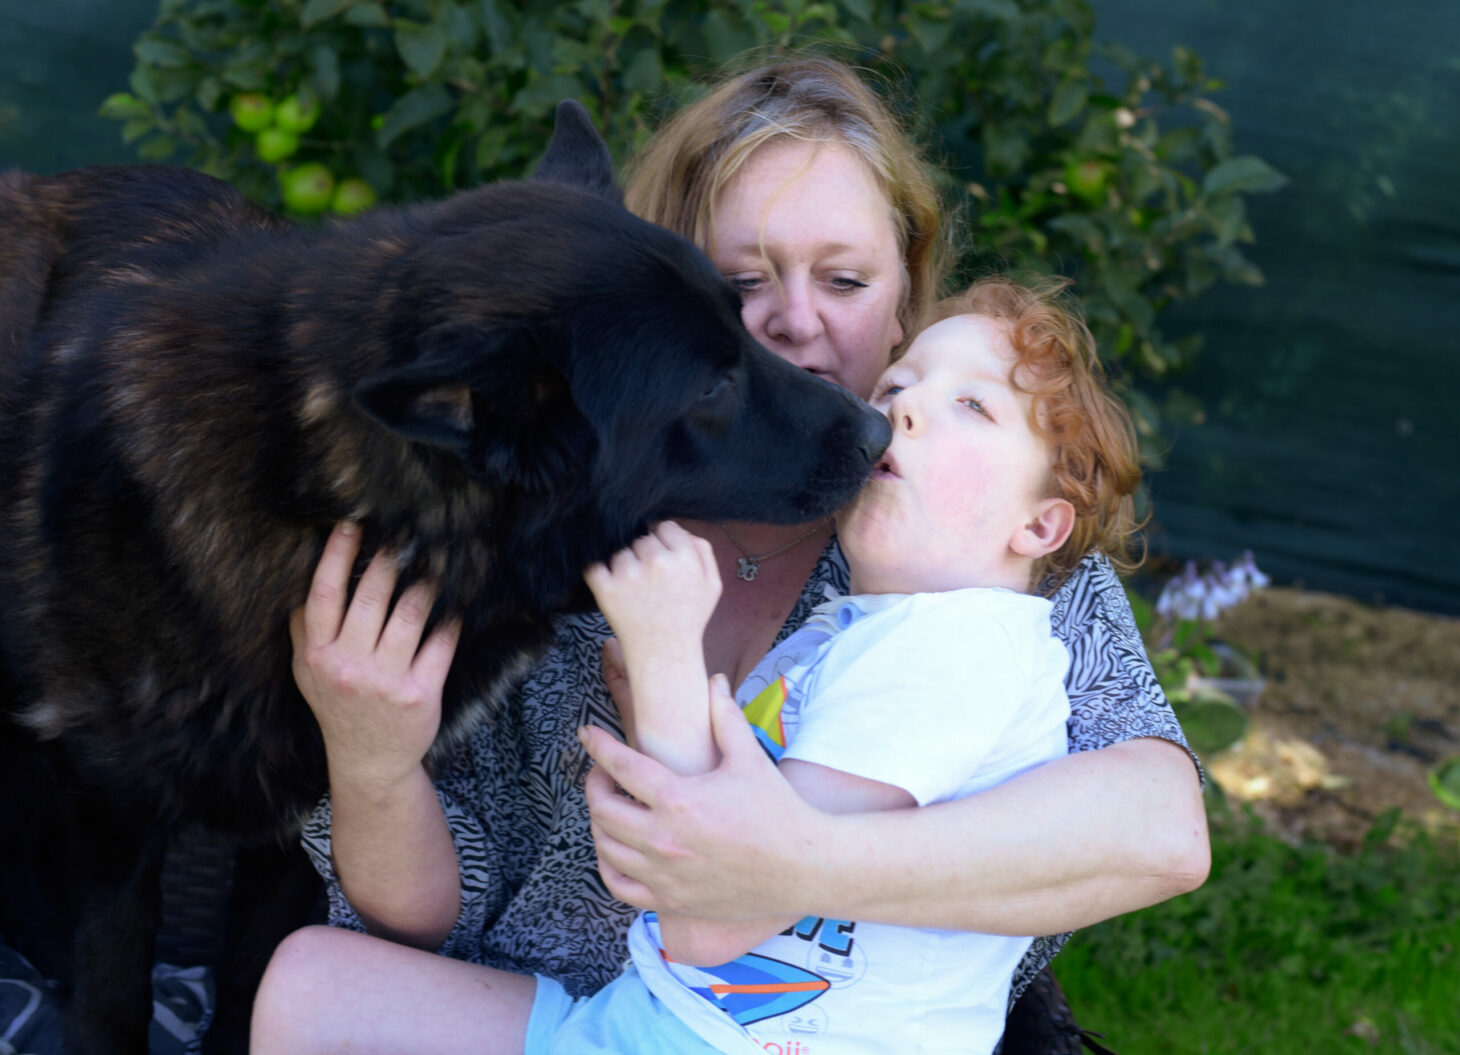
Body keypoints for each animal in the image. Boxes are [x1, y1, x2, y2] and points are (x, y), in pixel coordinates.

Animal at [0, 102, 887, 1055]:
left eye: (743, 320)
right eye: (715, 383)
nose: (880, 430)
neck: (326, 488)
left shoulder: (306, 819)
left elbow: (249, 981)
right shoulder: (115, 822)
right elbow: (111, 993)